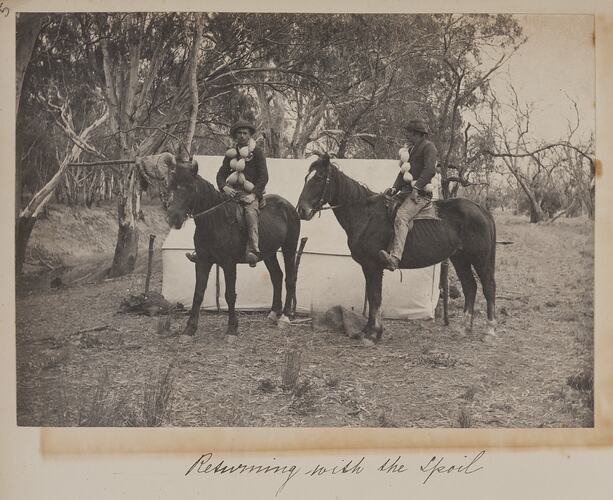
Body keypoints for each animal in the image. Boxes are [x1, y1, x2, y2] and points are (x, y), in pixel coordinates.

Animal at [165, 158, 298, 338]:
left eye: (189, 188)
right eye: (171, 187)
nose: (172, 218)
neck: (214, 221)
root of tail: (289, 207)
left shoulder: (228, 264)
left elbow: (230, 295)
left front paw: (232, 328)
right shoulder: (203, 261)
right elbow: (198, 293)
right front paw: (190, 329)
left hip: (289, 247)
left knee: (289, 279)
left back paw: (284, 317)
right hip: (268, 254)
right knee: (276, 276)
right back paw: (273, 314)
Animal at [296, 155, 498, 344]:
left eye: (319, 178)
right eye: (306, 178)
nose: (301, 211)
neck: (366, 215)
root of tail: (481, 209)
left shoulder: (373, 266)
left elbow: (375, 297)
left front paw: (372, 334)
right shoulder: (368, 267)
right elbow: (373, 297)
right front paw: (369, 331)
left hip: (480, 259)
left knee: (488, 287)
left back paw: (489, 331)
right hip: (460, 258)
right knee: (470, 287)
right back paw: (464, 328)